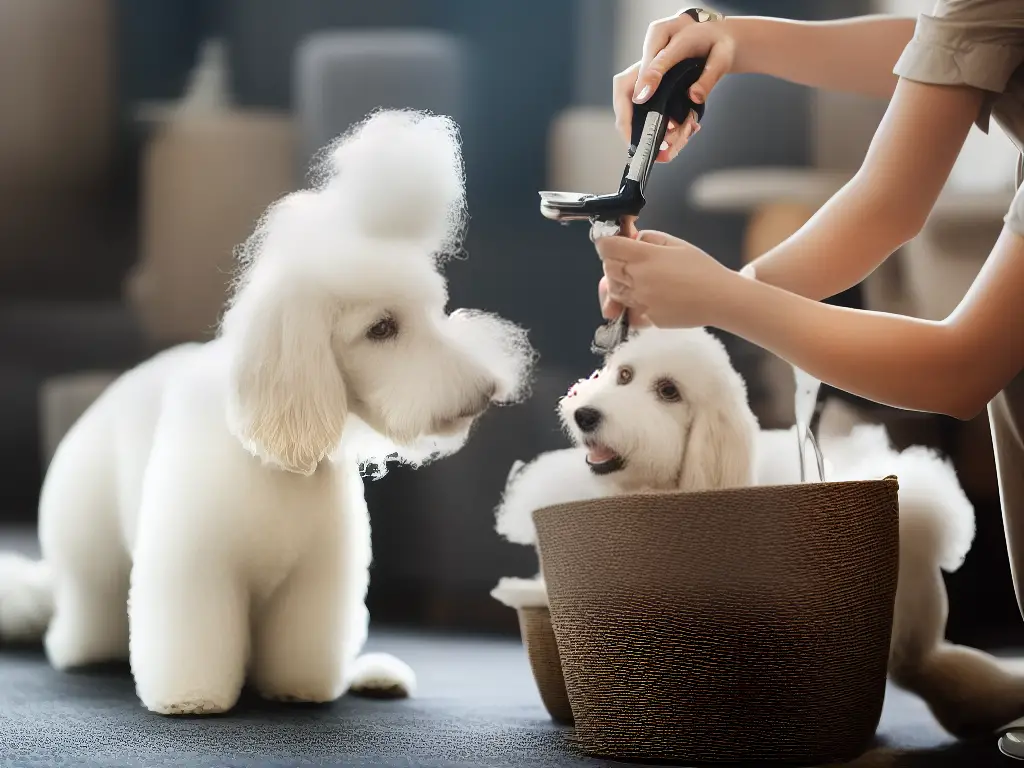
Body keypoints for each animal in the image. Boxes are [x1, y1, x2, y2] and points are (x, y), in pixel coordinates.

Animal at [2, 111, 536, 720]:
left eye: (435, 310)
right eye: (381, 328)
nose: (485, 387)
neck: (275, 462)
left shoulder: (315, 581)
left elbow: (303, 646)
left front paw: (300, 689)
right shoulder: (197, 569)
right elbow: (192, 639)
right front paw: (191, 699)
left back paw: (375, 675)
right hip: (91, 561)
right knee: (85, 620)